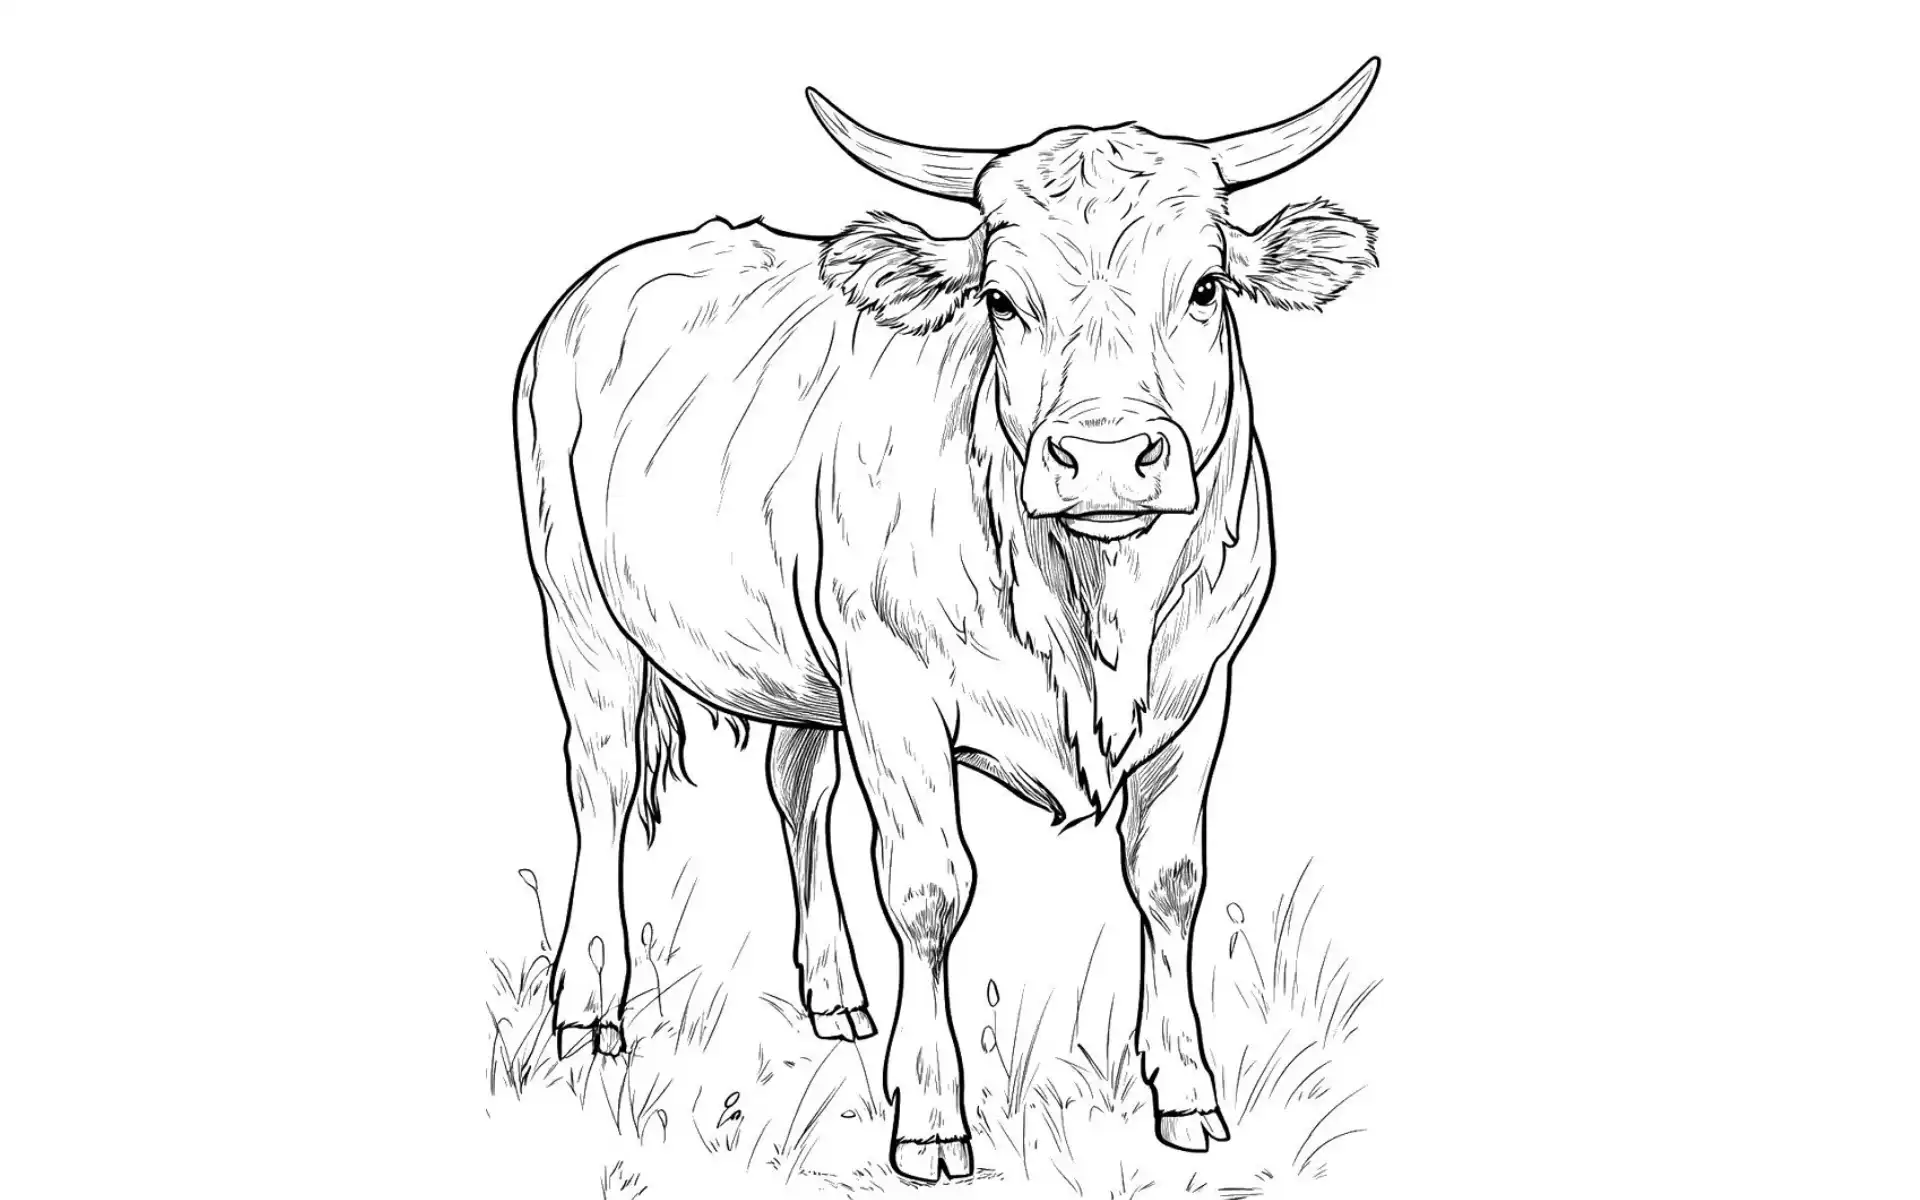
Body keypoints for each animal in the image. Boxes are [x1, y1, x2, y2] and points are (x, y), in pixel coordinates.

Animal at [512, 59, 1380, 1182]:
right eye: (1002, 301)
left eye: (1206, 287)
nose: (1107, 456)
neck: (1093, 603)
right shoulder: (895, 691)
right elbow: (929, 887)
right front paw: (928, 1116)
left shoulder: (1199, 692)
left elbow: (1170, 878)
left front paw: (1185, 1093)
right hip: (580, 611)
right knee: (603, 778)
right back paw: (589, 1007)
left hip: (802, 672)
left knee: (797, 791)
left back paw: (834, 994)